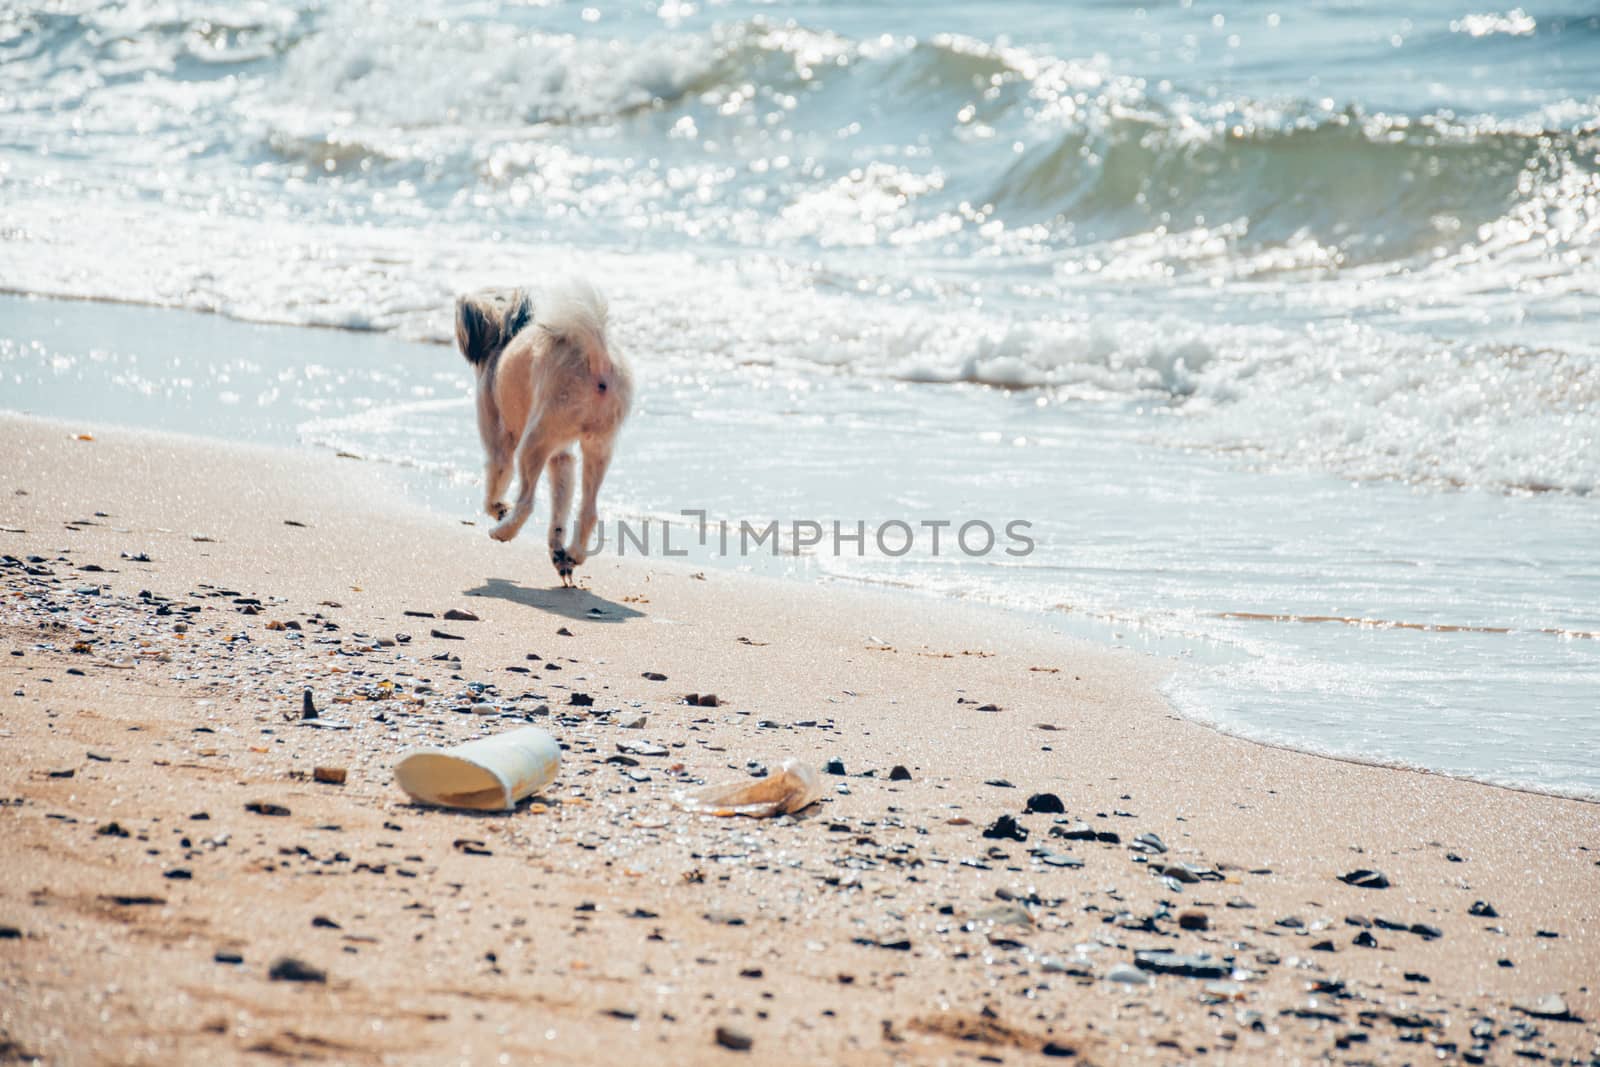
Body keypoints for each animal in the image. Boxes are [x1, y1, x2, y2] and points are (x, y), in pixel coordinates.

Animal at [454, 278, 633, 585]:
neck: (505, 335)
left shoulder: (498, 444)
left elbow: (494, 485)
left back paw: (504, 530)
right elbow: (560, 505)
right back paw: (572, 554)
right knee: (588, 511)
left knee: (526, 502)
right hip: (598, 447)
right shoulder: (561, 458)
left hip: (533, 442)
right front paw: (557, 551)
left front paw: (498, 509)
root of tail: (596, 358)